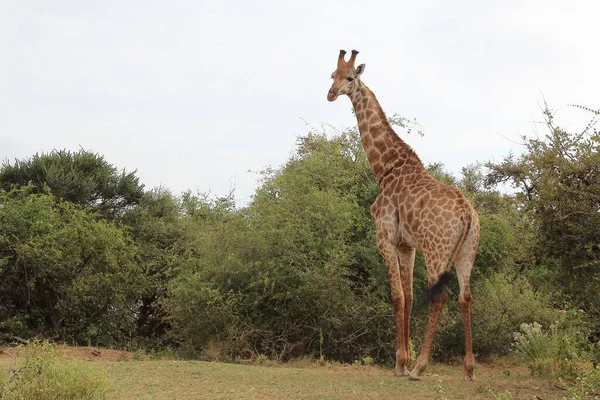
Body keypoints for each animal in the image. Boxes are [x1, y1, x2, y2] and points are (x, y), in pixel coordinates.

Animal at [326, 50, 480, 382]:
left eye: (350, 77)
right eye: (332, 74)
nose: (331, 94)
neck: (386, 167)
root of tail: (466, 212)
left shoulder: (384, 236)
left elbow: (397, 295)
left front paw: (401, 364)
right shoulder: (407, 245)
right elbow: (408, 298)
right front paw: (403, 361)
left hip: (436, 250)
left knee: (440, 296)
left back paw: (421, 368)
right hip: (467, 250)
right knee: (466, 296)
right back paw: (469, 369)